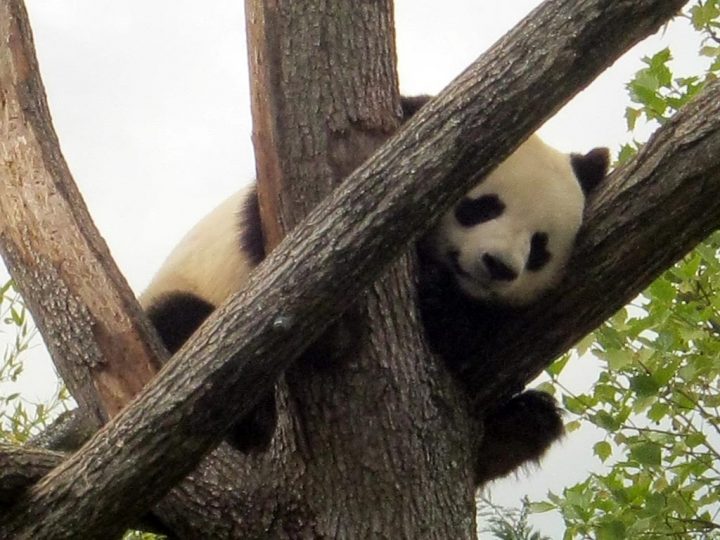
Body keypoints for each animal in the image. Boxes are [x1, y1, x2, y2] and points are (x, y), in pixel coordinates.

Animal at [136, 95, 608, 484]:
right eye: (482, 206)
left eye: (539, 247)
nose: (498, 266)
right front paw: (434, 296)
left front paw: (448, 312)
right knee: (181, 323)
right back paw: (254, 417)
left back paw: (520, 427)